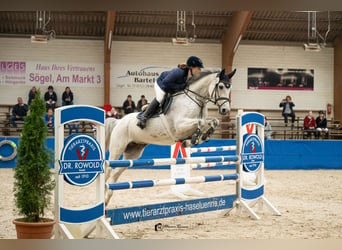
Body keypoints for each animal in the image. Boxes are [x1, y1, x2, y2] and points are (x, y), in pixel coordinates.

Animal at [105, 68, 235, 205]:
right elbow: (200, 122)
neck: (195, 100)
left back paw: (107, 199)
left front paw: (198, 138)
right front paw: (193, 139)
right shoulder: (180, 126)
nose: (225, 110)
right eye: (221, 86)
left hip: (133, 153)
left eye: (229, 87)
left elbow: (213, 121)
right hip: (117, 148)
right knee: (108, 170)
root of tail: (118, 121)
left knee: (115, 173)